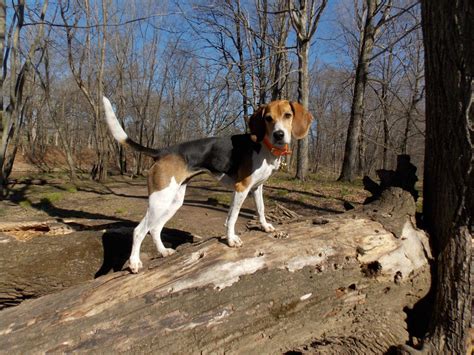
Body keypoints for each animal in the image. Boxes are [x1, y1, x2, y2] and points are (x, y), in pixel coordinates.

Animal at [103, 96, 312, 274]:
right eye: (268, 118)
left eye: (288, 115)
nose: (279, 134)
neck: (265, 147)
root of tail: (163, 151)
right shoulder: (241, 188)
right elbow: (232, 218)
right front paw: (231, 240)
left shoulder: (256, 188)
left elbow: (260, 209)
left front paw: (265, 226)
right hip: (159, 200)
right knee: (139, 231)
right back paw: (134, 263)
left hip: (173, 201)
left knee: (154, 229)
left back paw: (163, 252)